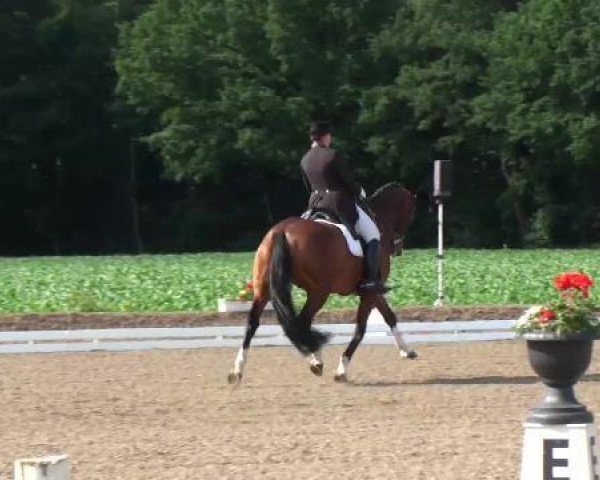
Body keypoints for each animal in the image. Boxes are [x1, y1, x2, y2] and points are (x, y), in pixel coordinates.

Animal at [227, 182, 420, 384]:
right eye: (411, 213)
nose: (397, 248)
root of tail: (282, 230)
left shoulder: (372, 292)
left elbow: (389, 316)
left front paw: (407, 351)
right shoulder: (370, 291)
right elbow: (361, 328)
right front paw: (342, 369)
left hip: (263, 290)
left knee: (253, 323)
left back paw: (237, 370)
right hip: (319, 292)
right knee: (302, 322)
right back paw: (316, 360)